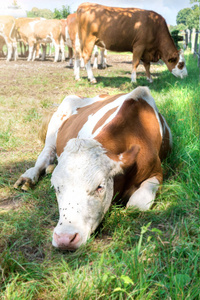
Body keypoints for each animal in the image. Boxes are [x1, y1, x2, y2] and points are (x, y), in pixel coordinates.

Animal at [14, 86, 173, 251]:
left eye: (99, 187)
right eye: (56, 188)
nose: (65, 238)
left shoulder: (157, 173)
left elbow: (136, 205)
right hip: (55, 126)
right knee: (45, 154)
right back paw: (28, 177)